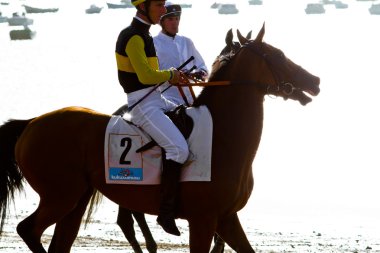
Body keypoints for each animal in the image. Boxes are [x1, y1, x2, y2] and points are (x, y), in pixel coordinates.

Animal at [0, 24, 320, 253]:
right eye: (279, 55)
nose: (314, 80)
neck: (222, 137)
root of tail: (32, 123)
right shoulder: (203, 220)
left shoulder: (227, 219)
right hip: (60, 197)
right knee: (28, 229)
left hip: (75, 200)